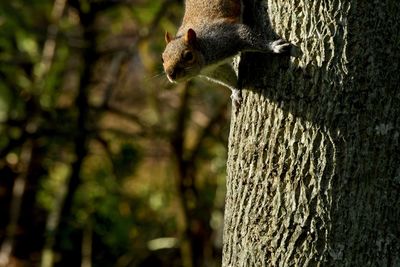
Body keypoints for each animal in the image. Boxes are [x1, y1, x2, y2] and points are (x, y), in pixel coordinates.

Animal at [161, 0, 290, 107]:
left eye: (188, 56)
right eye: (162, 59)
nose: (170, 74)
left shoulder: (226, 36)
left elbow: (247, 36)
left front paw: (272, 47)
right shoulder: (215, 69)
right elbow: (227, 76)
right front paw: (235, 91)